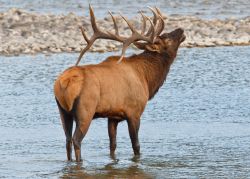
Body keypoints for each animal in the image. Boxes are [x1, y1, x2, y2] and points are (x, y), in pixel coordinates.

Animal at [53, 5, 186, 162]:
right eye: (167, 38)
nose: (181, 30)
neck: (146, 78)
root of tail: (63, 82)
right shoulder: (134, 112)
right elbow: (136, 145)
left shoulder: (113, 116)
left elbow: (113, 145)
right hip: (85, 110)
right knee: (76, 140)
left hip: (63, 111)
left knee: (67, 140)